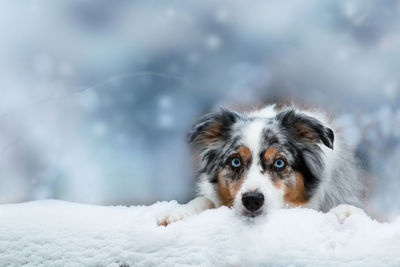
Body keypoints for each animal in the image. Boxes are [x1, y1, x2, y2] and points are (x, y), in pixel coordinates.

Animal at [156, 104, 366, 226]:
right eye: (235, 161)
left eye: (279, 163)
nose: (252, 200)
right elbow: (204, 200)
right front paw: (178, 213)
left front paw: (345, 213)